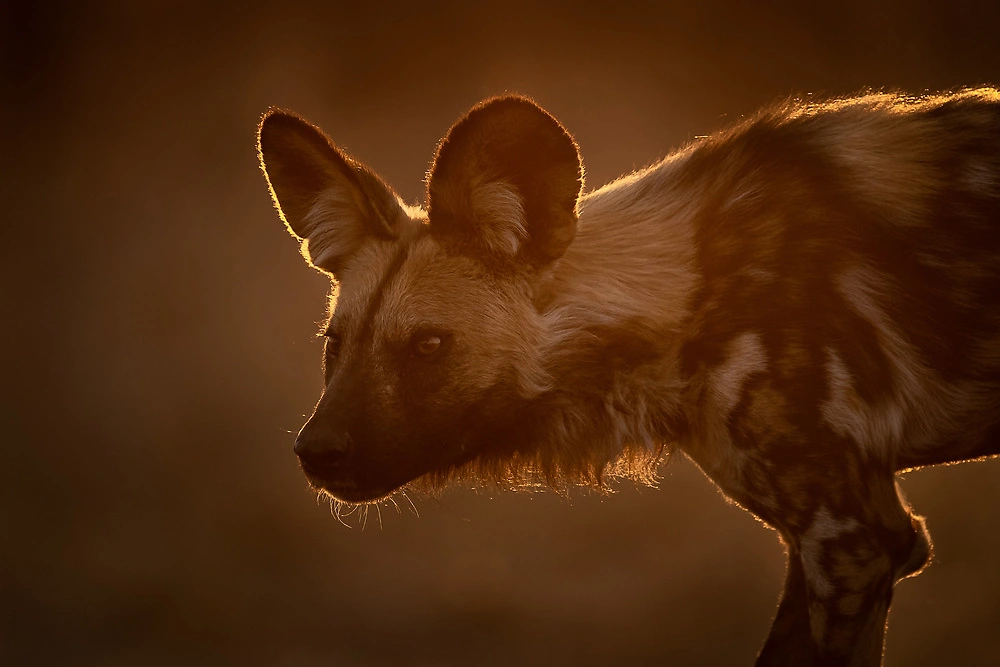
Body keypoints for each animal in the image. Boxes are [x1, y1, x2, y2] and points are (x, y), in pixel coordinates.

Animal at [256, 90, 1000, 667]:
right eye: (335, 344)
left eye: (429, 345)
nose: (314, 452)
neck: (694, 290)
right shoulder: (829, 545)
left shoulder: (853, 542)